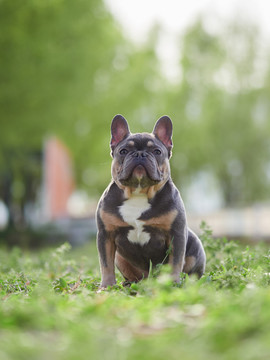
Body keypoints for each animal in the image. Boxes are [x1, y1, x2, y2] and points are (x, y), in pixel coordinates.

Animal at [96, 114, 206, 288]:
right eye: (123, 151)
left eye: (157, 151)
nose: (140, 154)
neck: (138, 193)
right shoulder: (105, 234)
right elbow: (105, 263)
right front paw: (107, 286)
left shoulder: (176, 234)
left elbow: (176, 261)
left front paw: (172, 283)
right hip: (120, 258)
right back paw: (129, 283)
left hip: (195, 246)